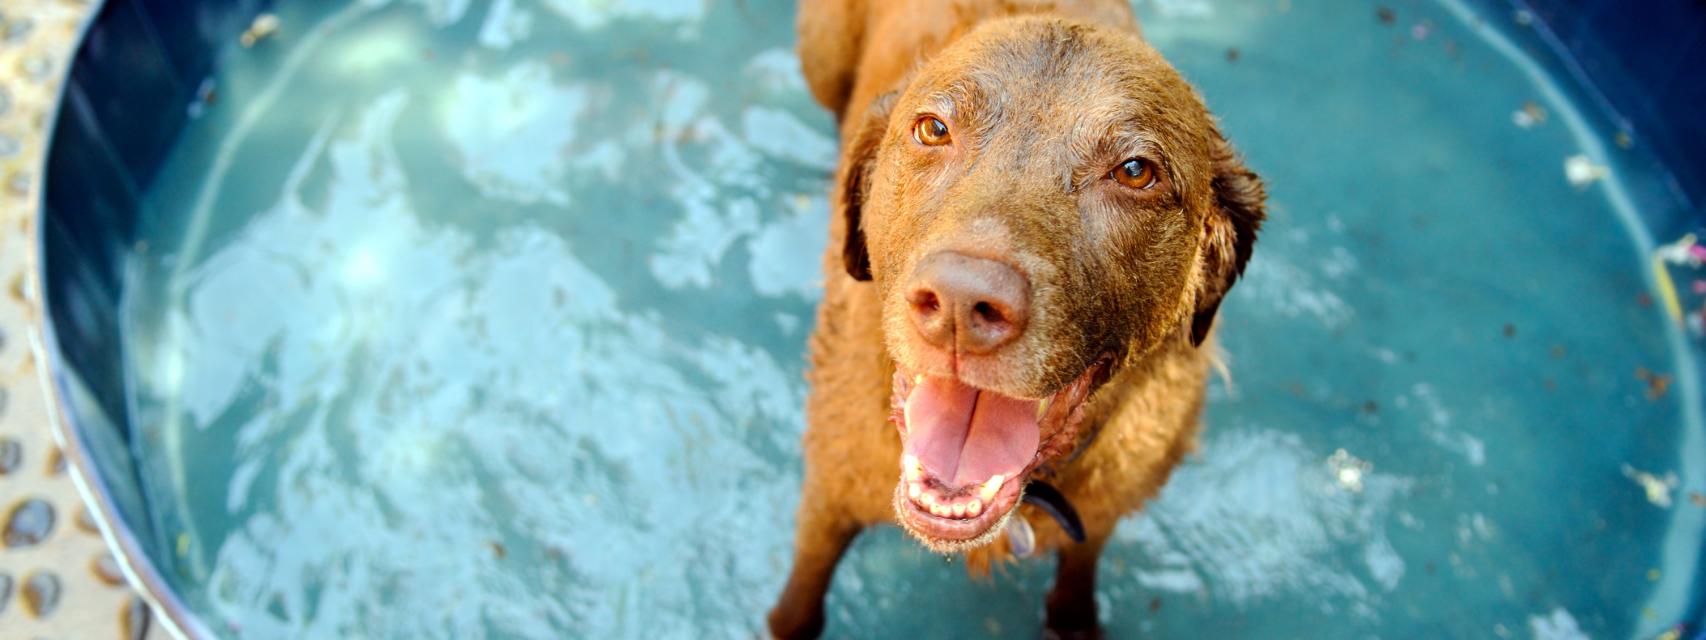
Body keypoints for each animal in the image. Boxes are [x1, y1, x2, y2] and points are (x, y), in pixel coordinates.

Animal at [767, 1, 1262, 638]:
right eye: (933, 129)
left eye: (1135, 171)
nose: (960, 303)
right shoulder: (829, 492)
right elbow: (799, 602)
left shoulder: (1106, 507)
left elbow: (1081, 566)